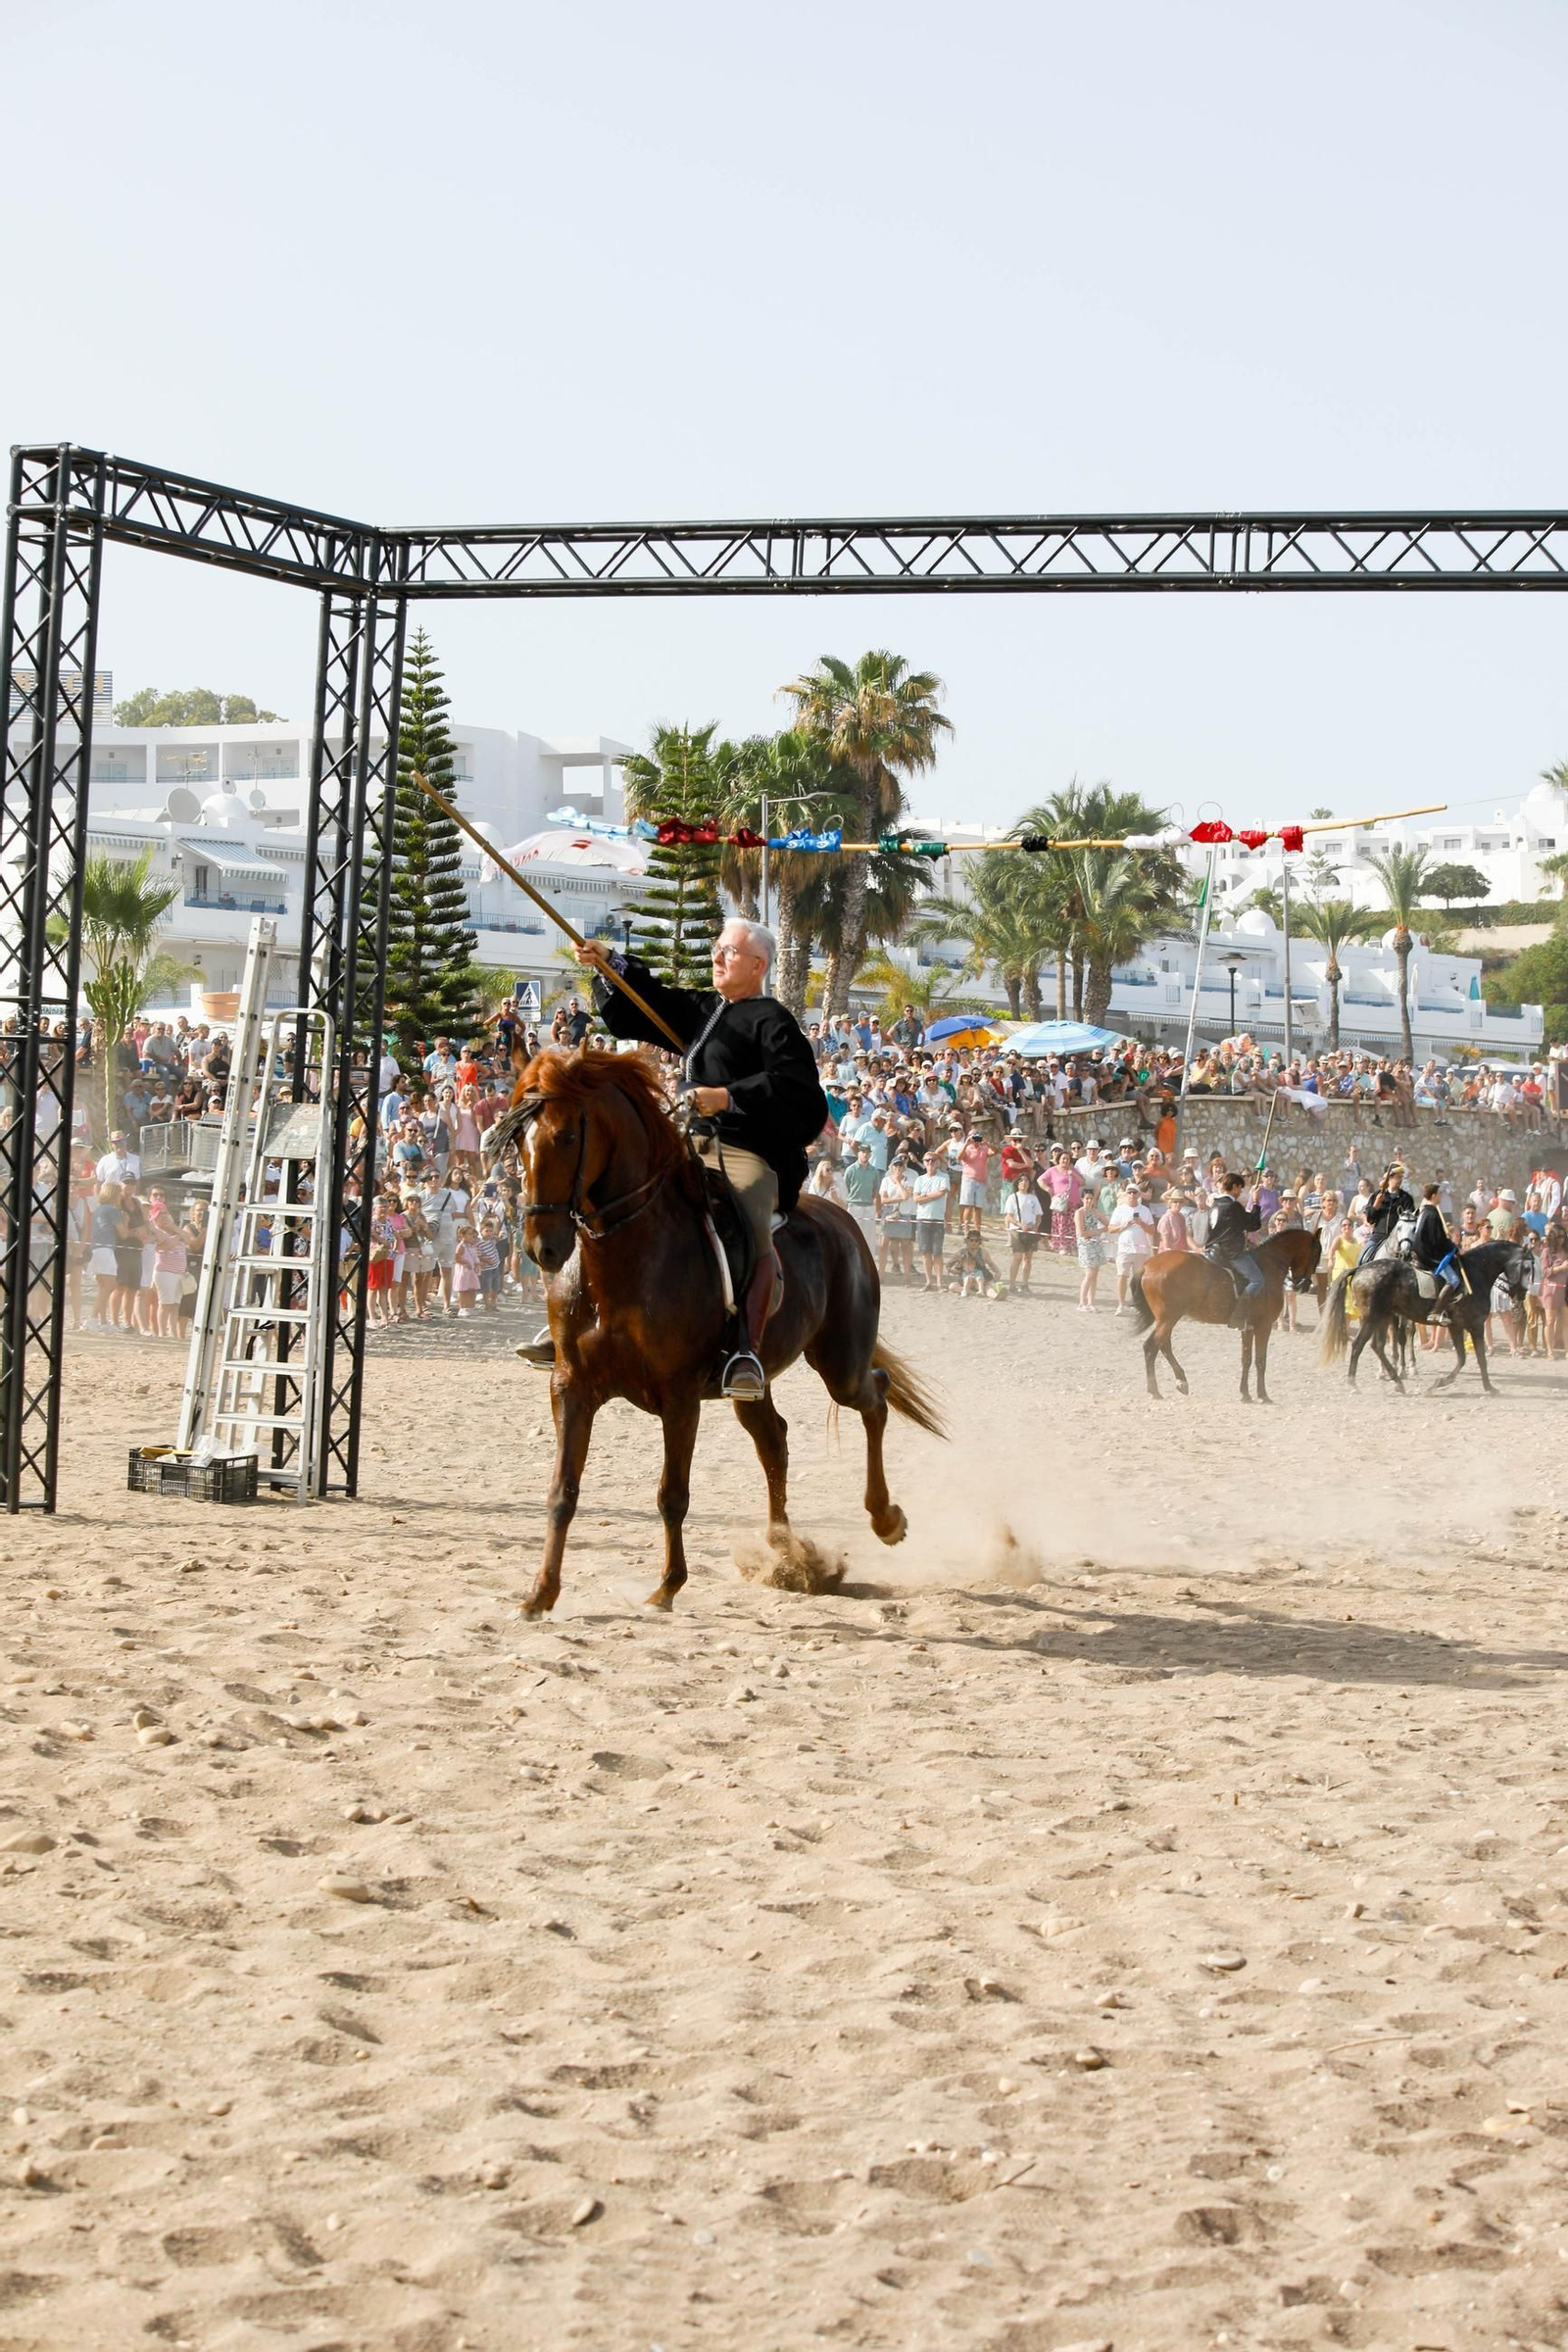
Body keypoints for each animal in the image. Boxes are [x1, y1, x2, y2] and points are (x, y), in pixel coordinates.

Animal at [484, 1048, 945, 1616]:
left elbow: (671, 1494)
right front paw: (541, 1593)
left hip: (840, 1363)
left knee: (873, 1398)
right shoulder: (571, 1388)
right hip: (755, 1383)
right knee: (775, 1440)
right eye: (517, 1141)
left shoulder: (679, 1397)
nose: (540, 1247)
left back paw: (884, 1519)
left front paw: (667, 1586)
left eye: (568, 1136)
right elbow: (562, 1491)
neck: (624, 1259)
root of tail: (845, 1223)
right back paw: (786, 1554)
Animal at [1128, 1228, 1322, 1403]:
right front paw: (1263, 1395)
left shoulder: (1248, 1327)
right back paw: (1155, 1390)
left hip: (1168, 1319)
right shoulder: (1264, 1325)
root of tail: (1148, 1265)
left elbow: (1246, 1359)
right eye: (1315, 1254)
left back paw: (1181, 1381)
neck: (1269, 1265)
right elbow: (1260, 1361)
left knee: (1164, 1345)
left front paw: (1245, 1394)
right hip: (1169, 1318)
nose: (1304, 1285)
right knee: (1151, 1347)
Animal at [1319, 1237, 1534, 1395]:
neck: (1475, 1274)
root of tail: (1361, 1269)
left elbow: (1466, 1358)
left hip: (1382, 1316)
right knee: (1359, 1345)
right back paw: (1353, 1383)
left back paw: (1397, 1382)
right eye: (1527, 1268)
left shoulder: (1458, 1326)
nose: (1522, 1295)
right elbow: (1476, 1358)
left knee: (1377, 1346)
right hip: (1372, 1317)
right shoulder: (1473, 1325)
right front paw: (1484, 1387)